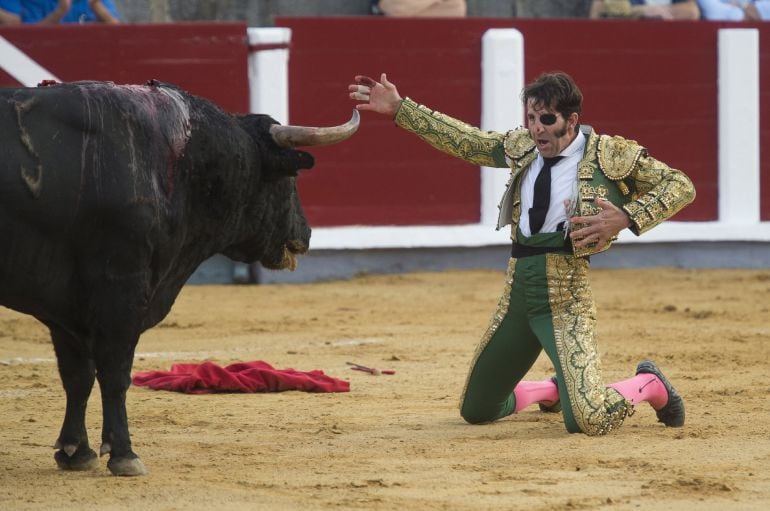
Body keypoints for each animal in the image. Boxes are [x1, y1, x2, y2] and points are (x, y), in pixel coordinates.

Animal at [0, 80, 360, 476]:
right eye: (291, 179)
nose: (307, 233)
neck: (183, 160)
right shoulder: (122, 287)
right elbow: (115, 372)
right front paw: (124, 454)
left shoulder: (67, 306)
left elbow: (77, 376)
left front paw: (75, 453)